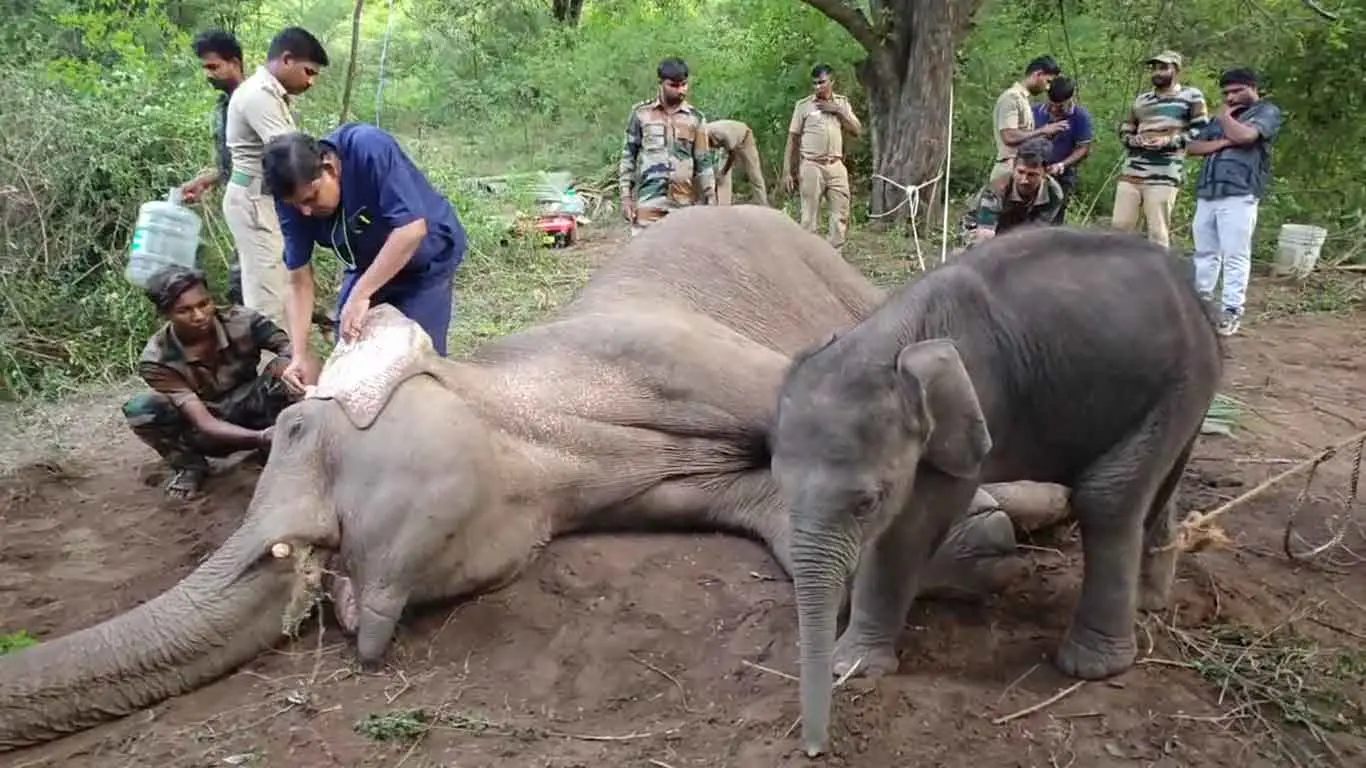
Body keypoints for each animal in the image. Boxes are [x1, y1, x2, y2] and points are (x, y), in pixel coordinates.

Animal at [0, 204, 1052, 752]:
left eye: (297, 424)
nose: (315, 582)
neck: (513, 399)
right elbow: (772, 510)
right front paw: (975, 539)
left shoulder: (665, 350)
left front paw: (1012, 512)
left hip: (834, 269)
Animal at [769, 225, 1224, 757]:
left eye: (868, 503)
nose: (813, 750)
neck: (894, 338)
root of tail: (1195, 295)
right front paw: (855, 664)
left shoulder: (977, 405)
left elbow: (914, 523)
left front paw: (856, 665)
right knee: (1160, 485)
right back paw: (1148, 602)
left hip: (1183, 379)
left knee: (1108, 497)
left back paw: (1093, 665)